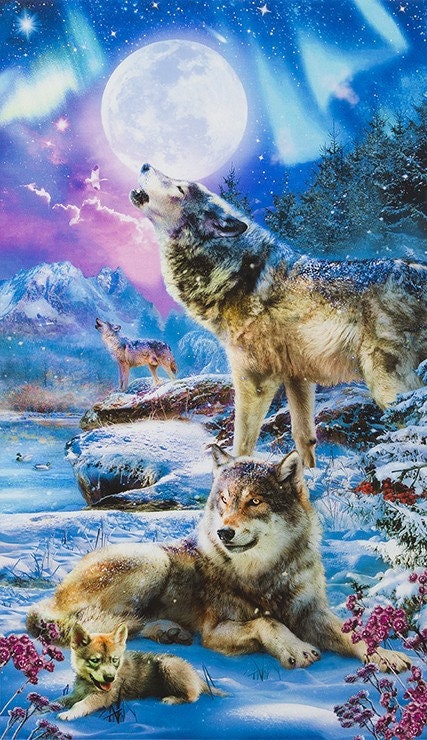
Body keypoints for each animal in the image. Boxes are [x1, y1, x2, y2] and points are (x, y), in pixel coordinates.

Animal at [27, 448, 410, 674]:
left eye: (254, 501)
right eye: (224, 500)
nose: (224, 532)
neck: (266, 574)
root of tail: (49, 597)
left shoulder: (311, 613)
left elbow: (354, 634)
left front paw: (385, 655)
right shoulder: (216, 631)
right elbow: (268, 622)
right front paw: (296, 648)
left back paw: (167, 631)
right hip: (153, 561)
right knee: (96, 625)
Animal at [57, 622, 219, 721]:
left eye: (114, 660)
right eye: (95, 660)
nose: (110, 678)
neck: (89, 683)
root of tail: (197, 676)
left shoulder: (102, 696)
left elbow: (81, 704)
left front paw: (68, 713)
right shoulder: (77, 693)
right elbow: (63, 699)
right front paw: (52, 705)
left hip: (168, 666)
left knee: (193, 696)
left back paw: (172, 699)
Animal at [130, 164, 426, 466]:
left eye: (180, 189)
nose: (144, 164)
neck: (236, 273)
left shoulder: (253, 378)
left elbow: (242, 442)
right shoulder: (298, 379)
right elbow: (304, 438)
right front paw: (306, 474)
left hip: (387, 387)